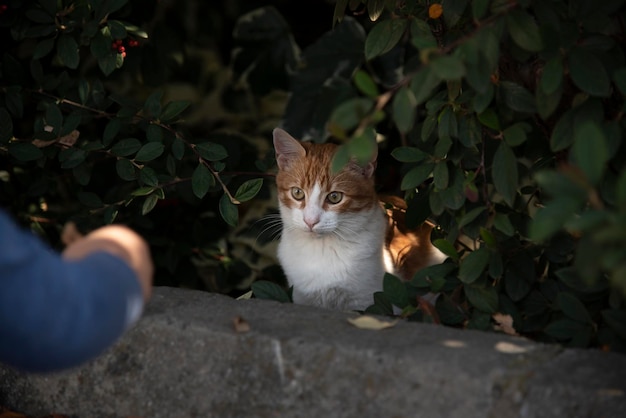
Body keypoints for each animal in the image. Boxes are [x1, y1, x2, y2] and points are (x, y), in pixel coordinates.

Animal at [270, 129, 442, 312]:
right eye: (297, 193)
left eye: (335, 197)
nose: (310, 220)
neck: (322, 249)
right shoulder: (303, 299)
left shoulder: (368, 302)